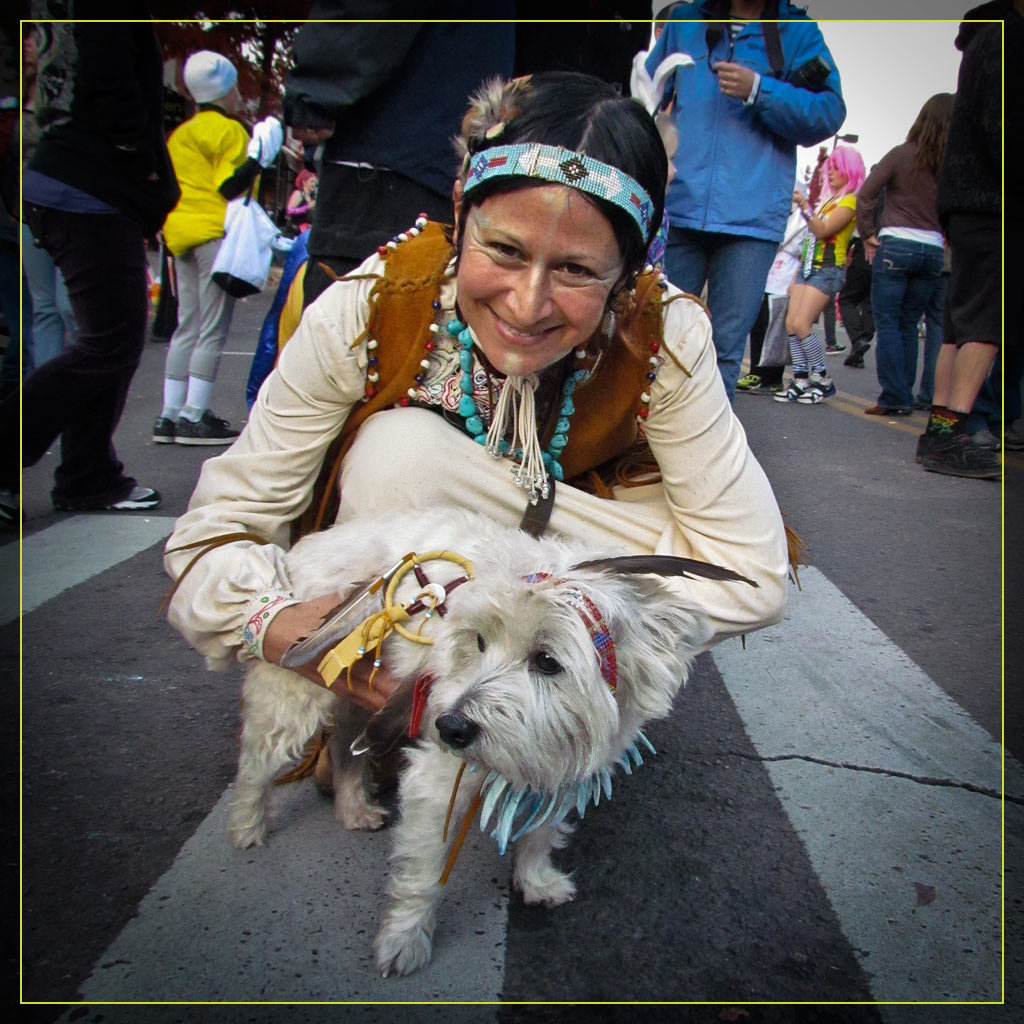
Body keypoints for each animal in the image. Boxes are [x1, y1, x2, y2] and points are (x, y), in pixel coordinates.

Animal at [228, 505, 749, 974]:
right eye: (477, 641)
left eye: (547, 661)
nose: (449, 727)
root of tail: (301, 549)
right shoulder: (437, 778)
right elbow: (422, 872)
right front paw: (404, 942)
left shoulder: (566, 766)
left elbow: (541, 833)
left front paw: (537, 882)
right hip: (293, 691)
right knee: (256, 763)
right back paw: (248, 826)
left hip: (355, 693)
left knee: (345, 743)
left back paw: (354, 806)